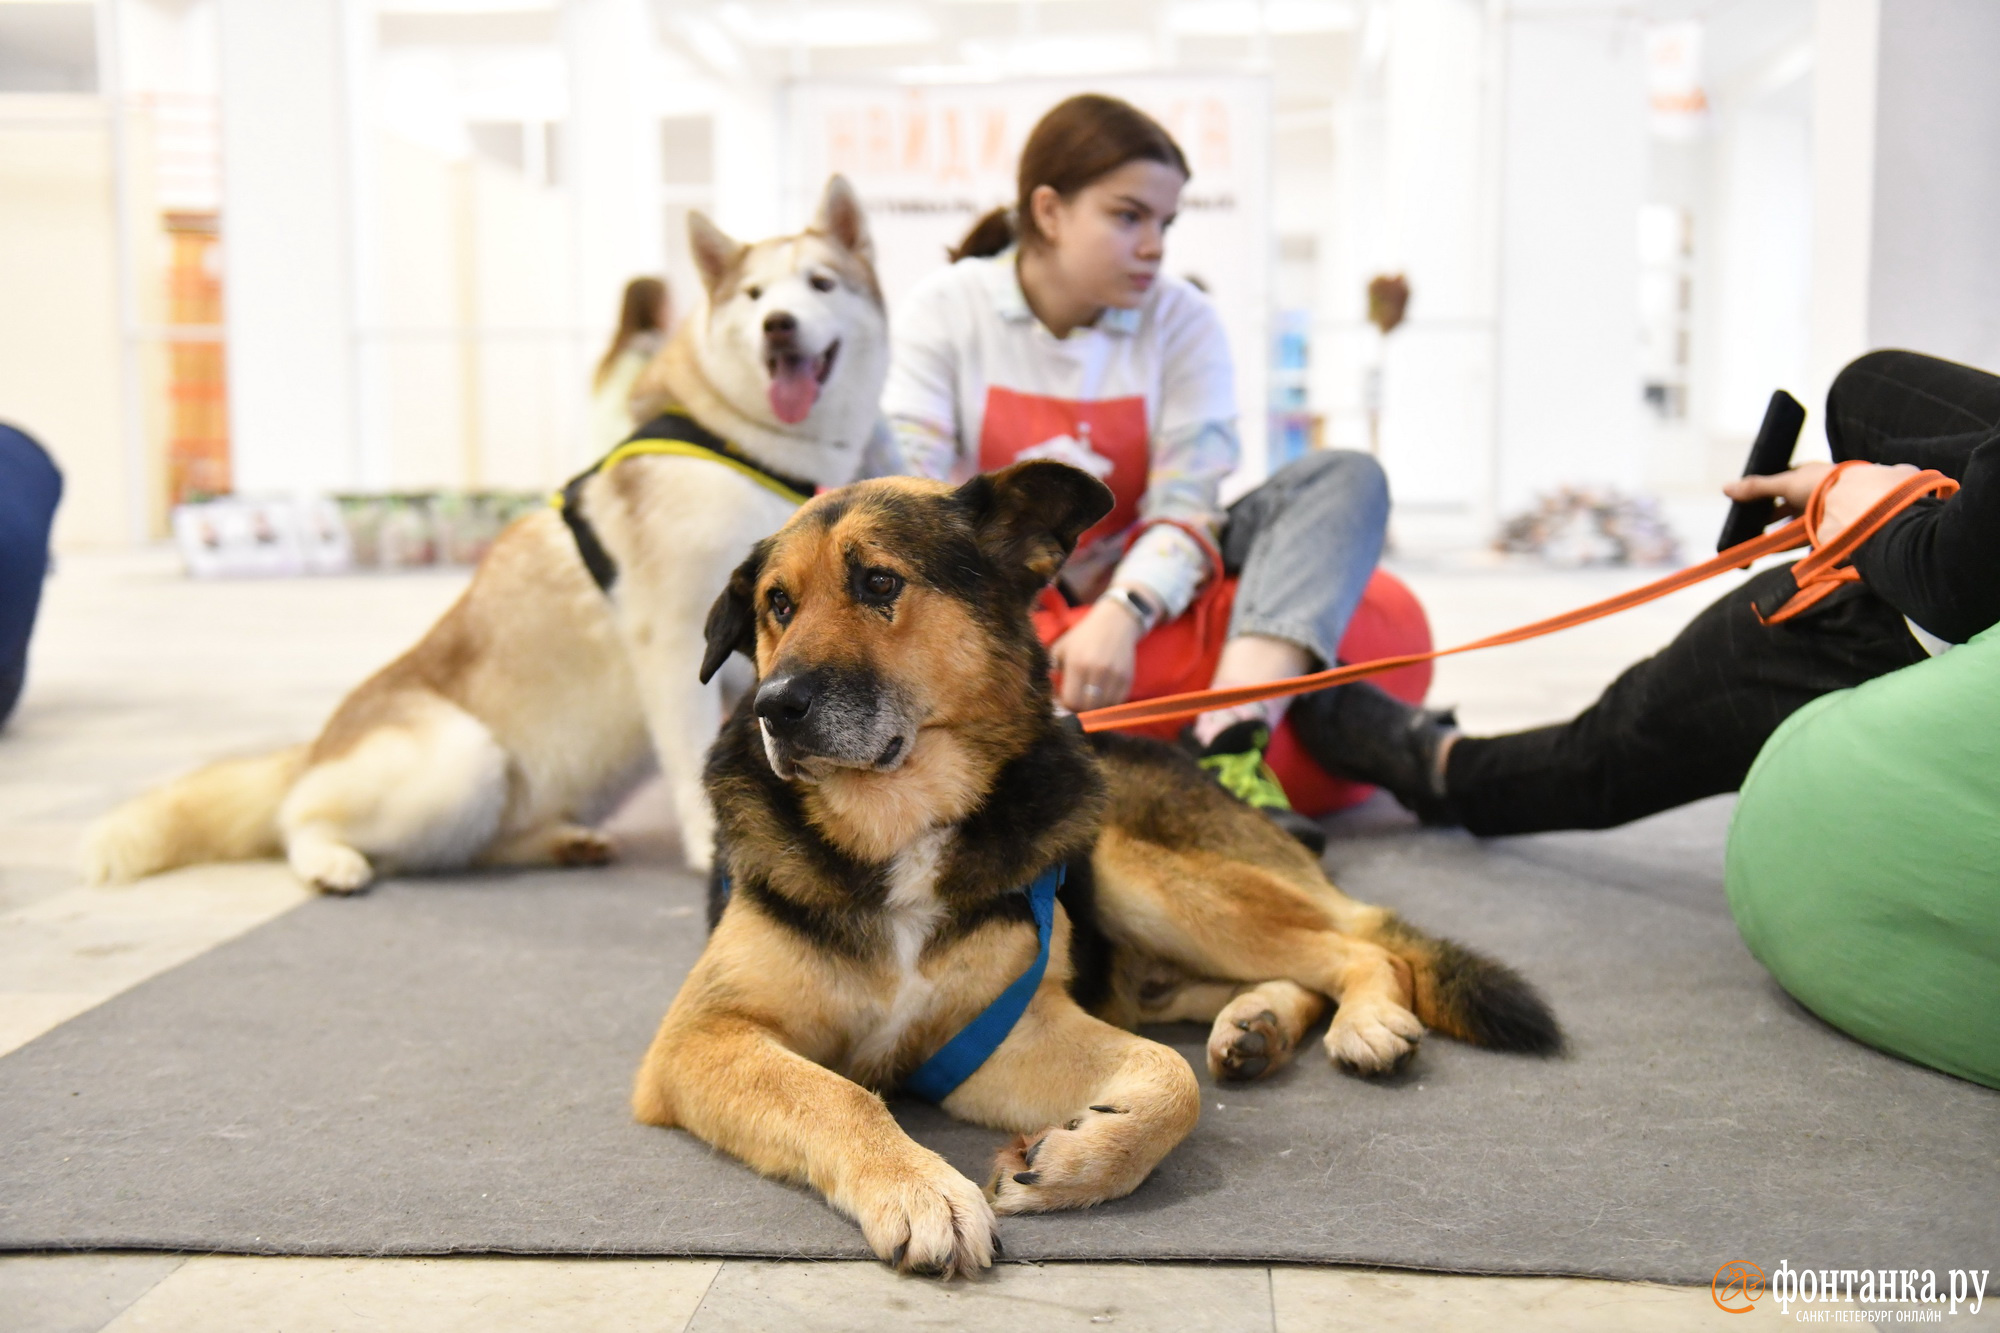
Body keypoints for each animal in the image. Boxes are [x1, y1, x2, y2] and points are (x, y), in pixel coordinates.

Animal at [80, 174, 892, 880]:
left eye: (821, 284)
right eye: (754, 296)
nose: (777, 325)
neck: (741, 440)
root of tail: (317, 745)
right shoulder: (671, 642)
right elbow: (695, 750)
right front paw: (709, 850)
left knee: (475, 847)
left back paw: (560, 842)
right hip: (461, 763)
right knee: (302, 821)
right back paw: (330, 862)